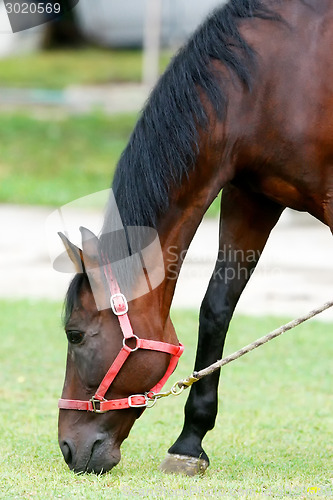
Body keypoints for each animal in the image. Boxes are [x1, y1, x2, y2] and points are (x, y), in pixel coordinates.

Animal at [56, 0, 332, 476]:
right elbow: (217, 307)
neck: (273, 80)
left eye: (74, 335)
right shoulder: (251, 196)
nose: (68, 448)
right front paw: (189, 441)